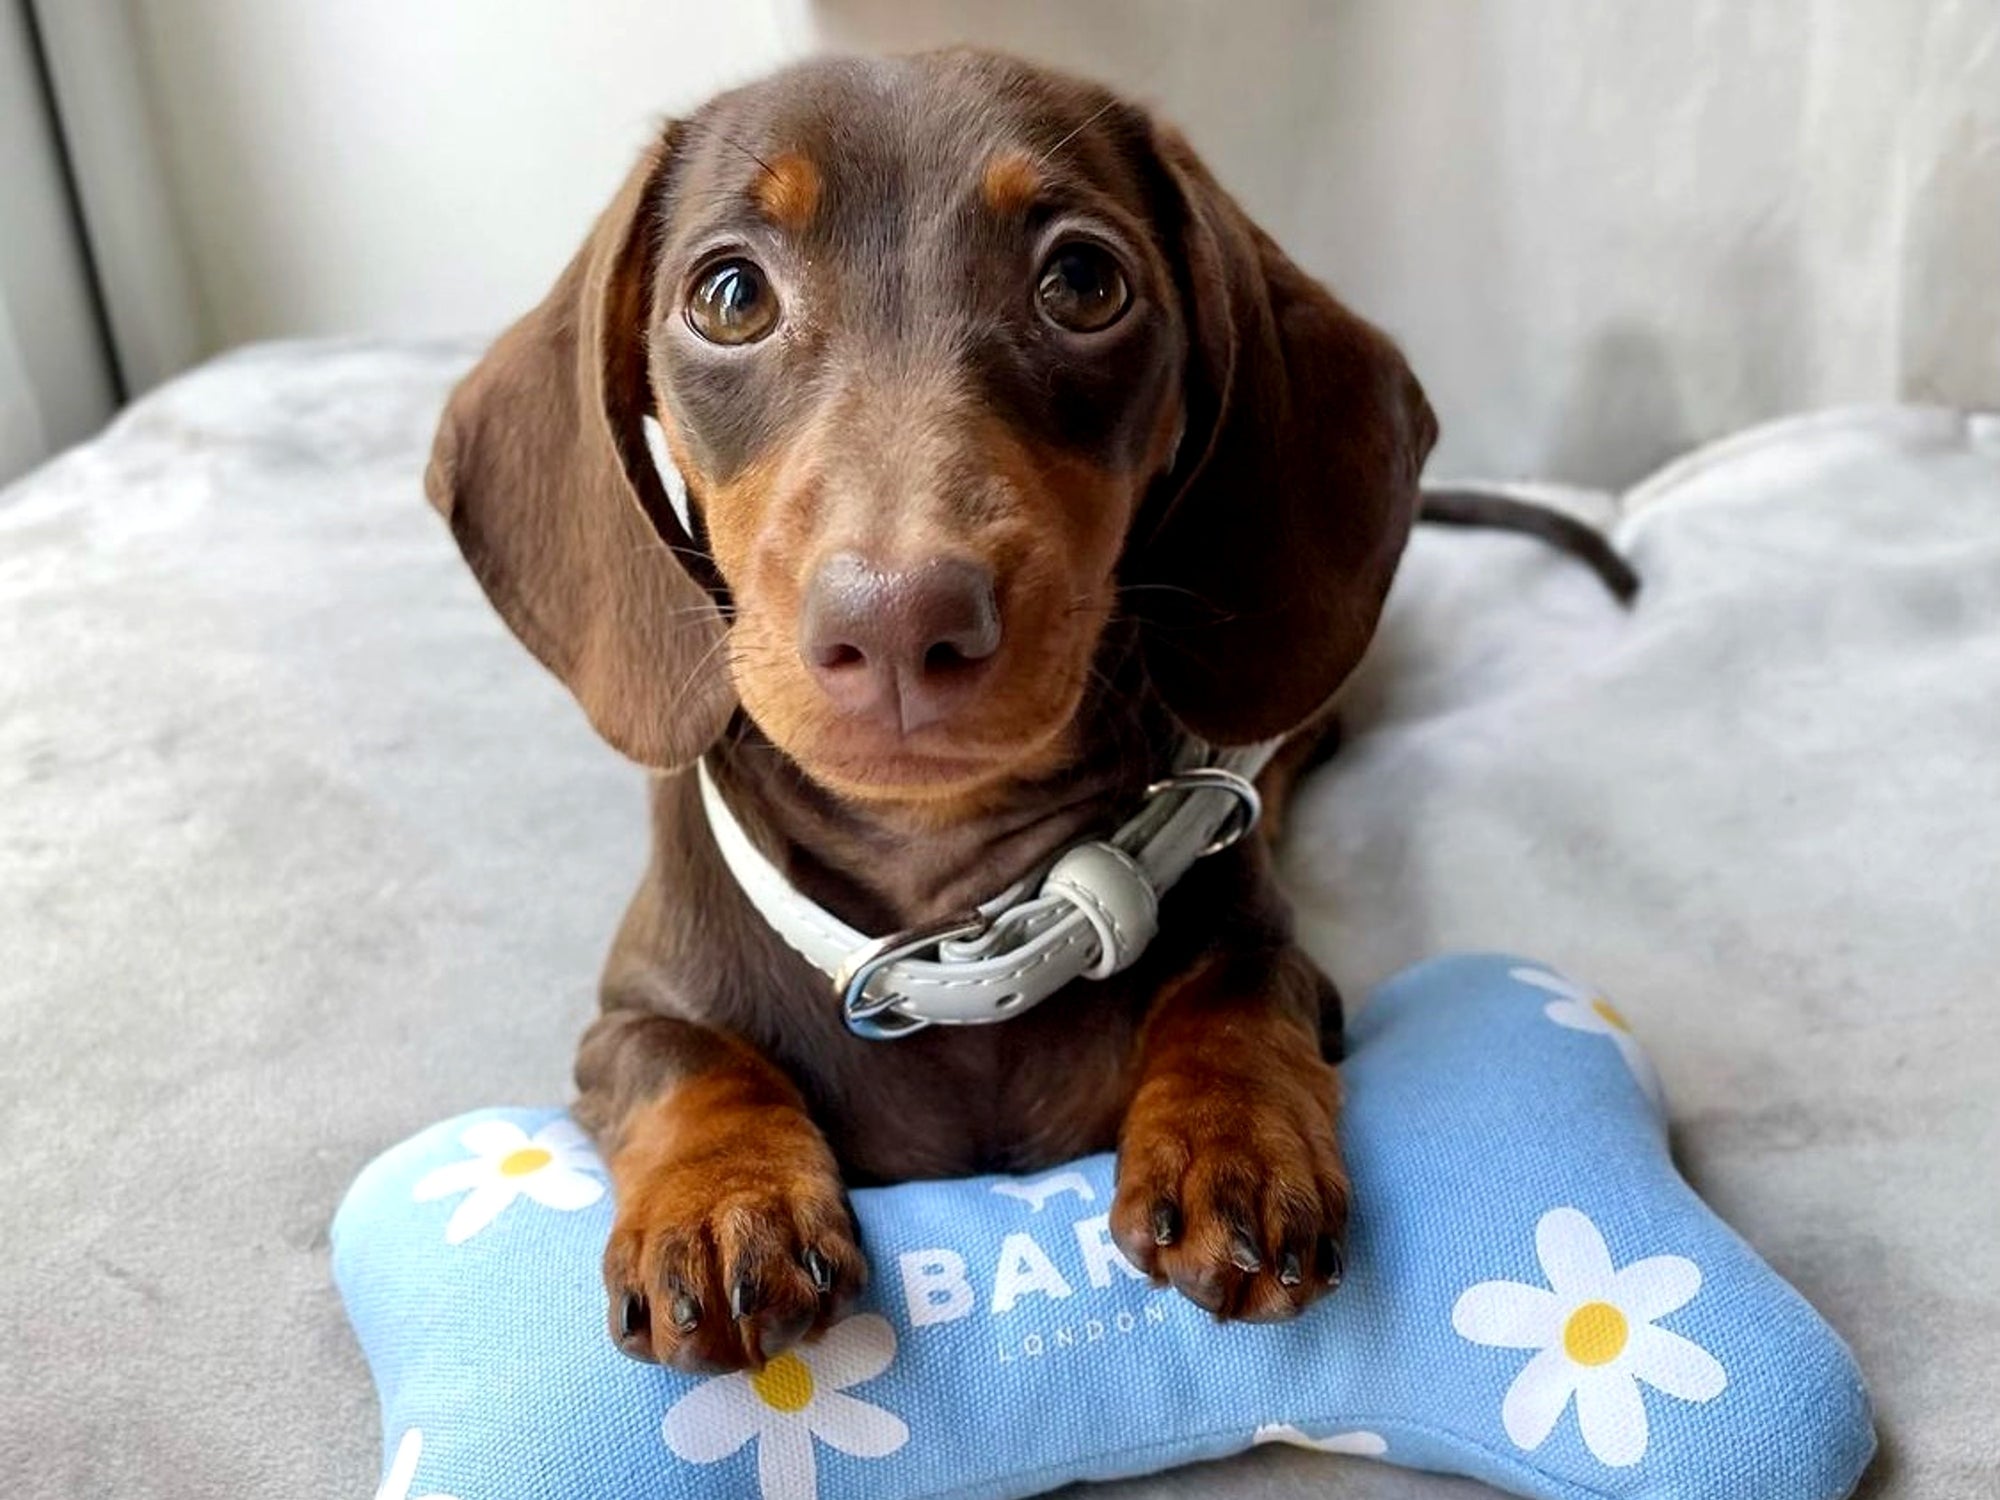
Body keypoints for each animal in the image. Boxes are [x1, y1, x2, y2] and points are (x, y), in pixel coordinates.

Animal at [430, 47, 1440, 1384]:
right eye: (730, 295)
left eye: (1083, 282)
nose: (902, 625)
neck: (951, 920)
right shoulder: (621, 1014)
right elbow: (676, 1055)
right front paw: (722, 1197)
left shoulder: (1283, 958)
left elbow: (1239, 982)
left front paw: (1235, 1139)